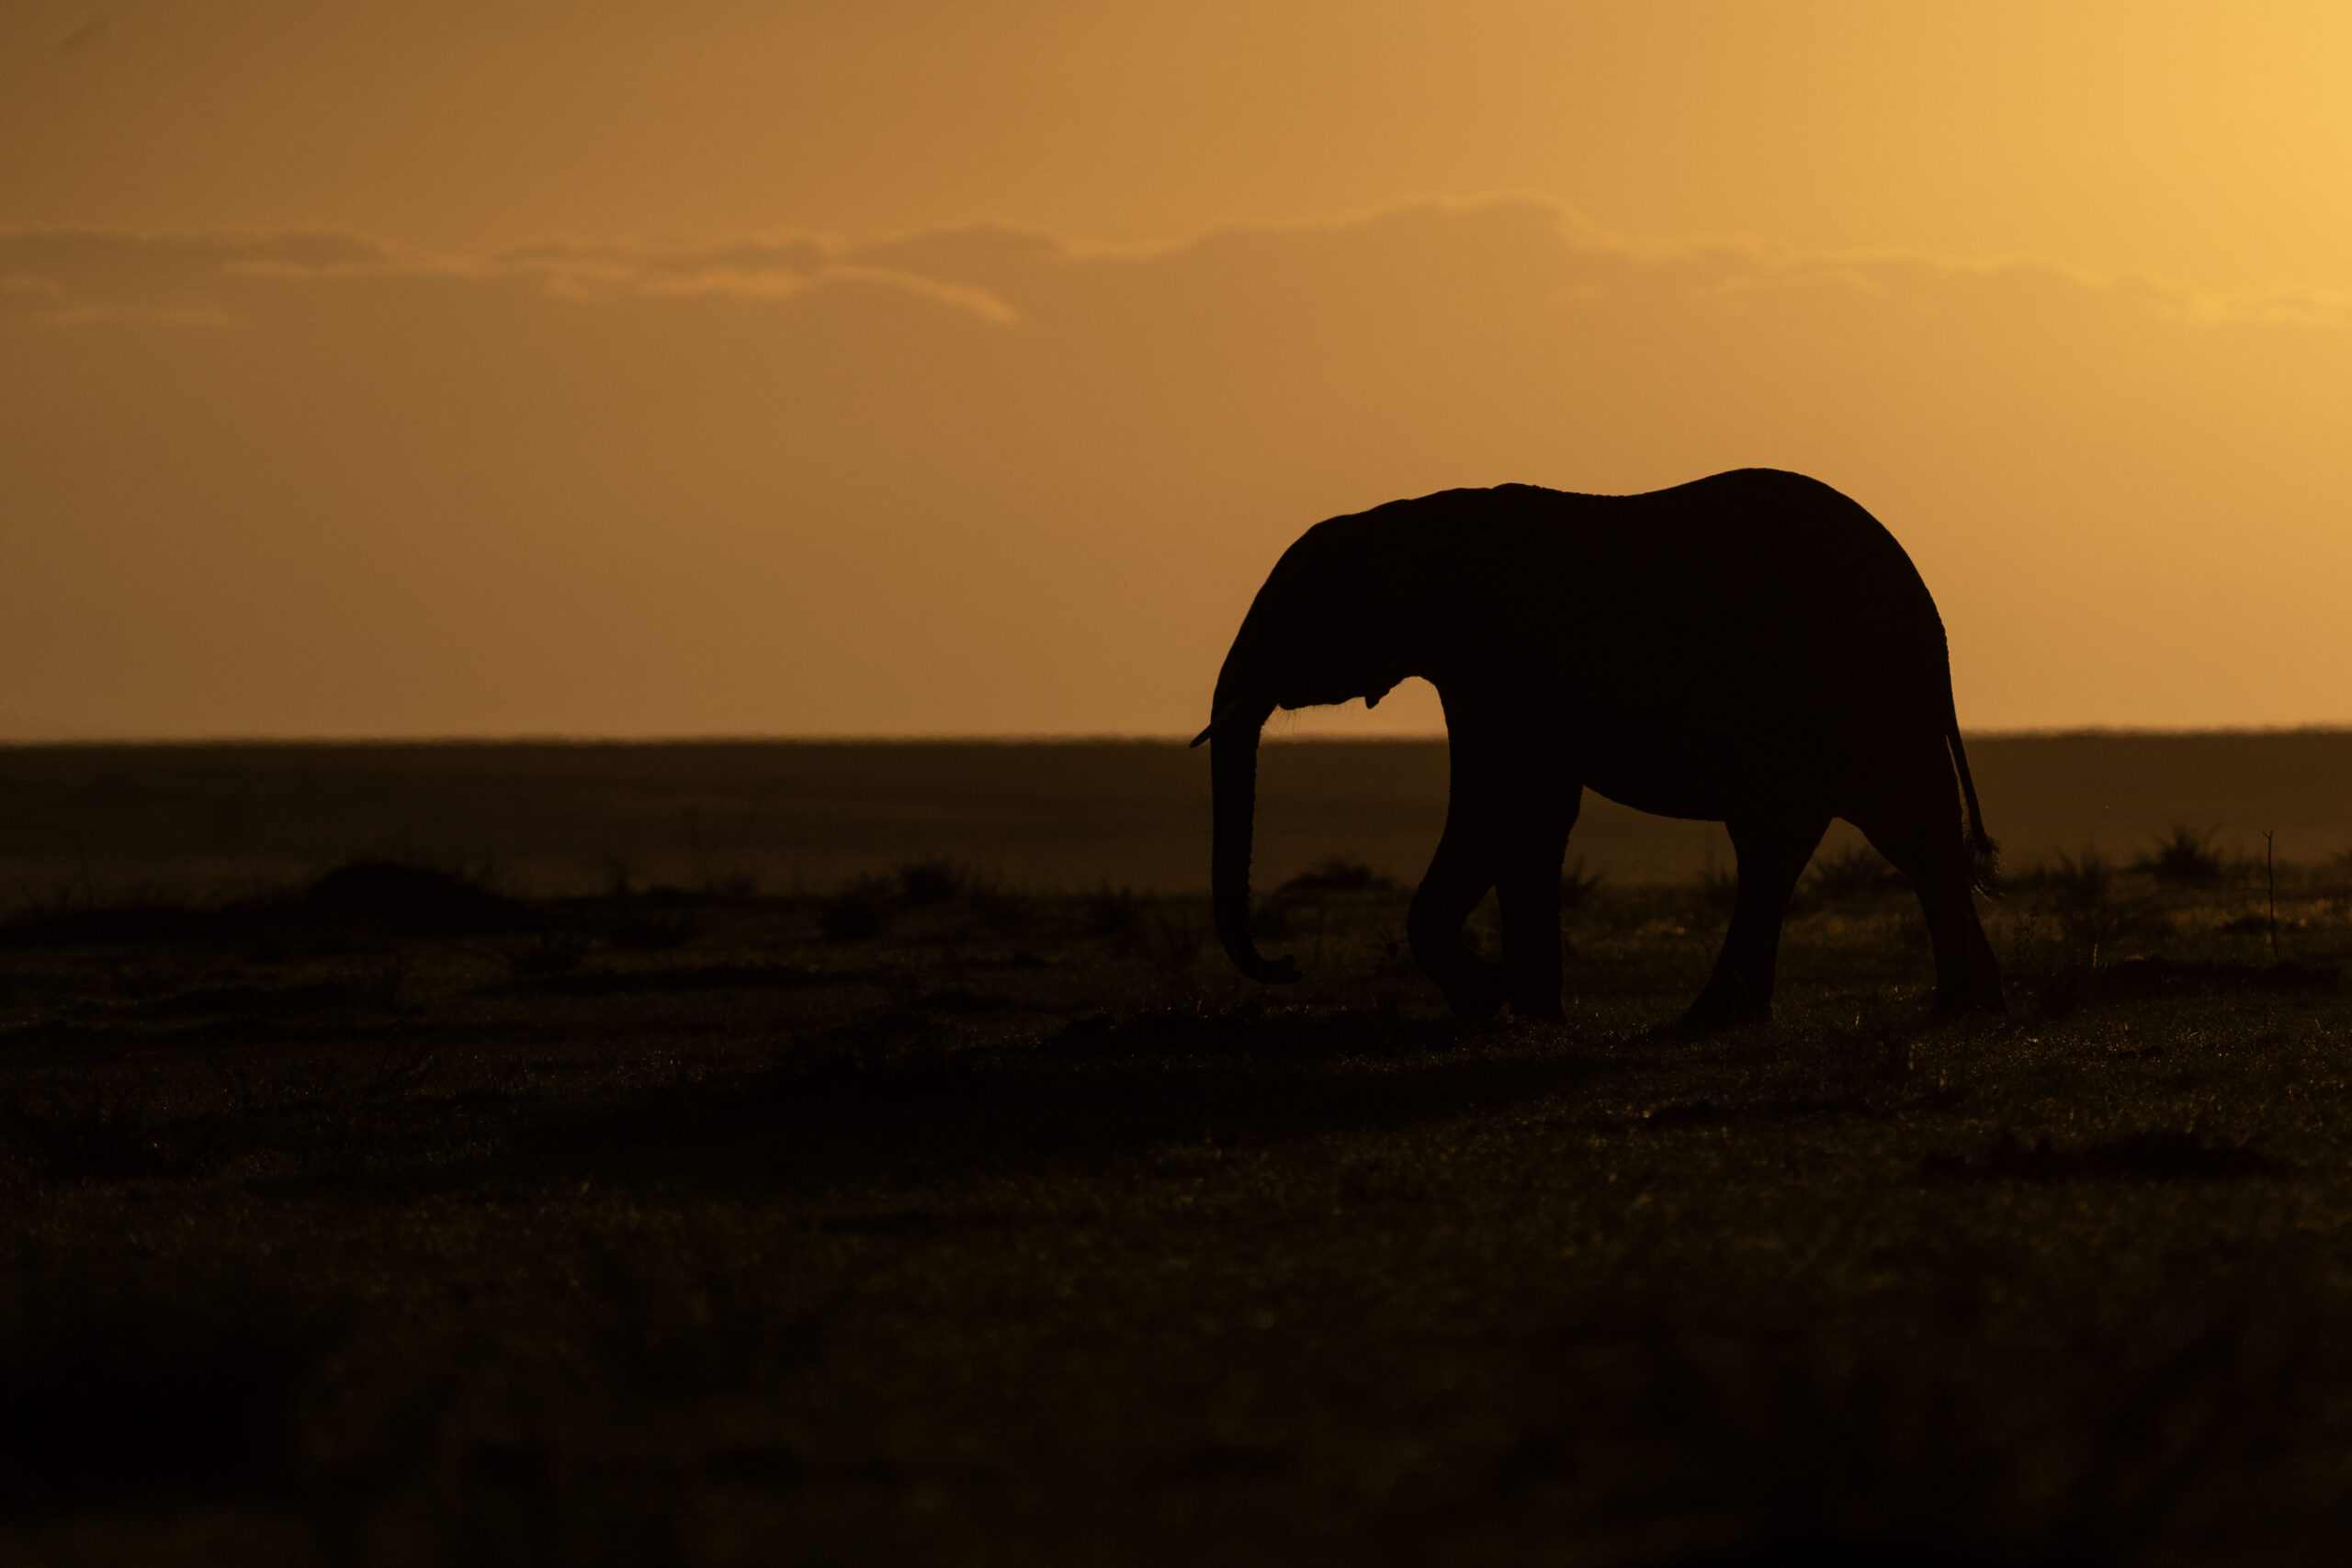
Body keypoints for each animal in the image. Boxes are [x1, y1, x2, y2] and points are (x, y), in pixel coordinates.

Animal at [1192, 468, 2004, 1029]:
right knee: (1839, 836)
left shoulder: (1500, 663)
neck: (1409, 520)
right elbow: (1534, 817)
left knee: (1868, 830)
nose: (1286, 966)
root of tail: (1929, 614)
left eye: (1296, 616)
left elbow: (1498, 804)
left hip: (1855, 692)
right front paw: (1530, 1013)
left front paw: (1490, 998)